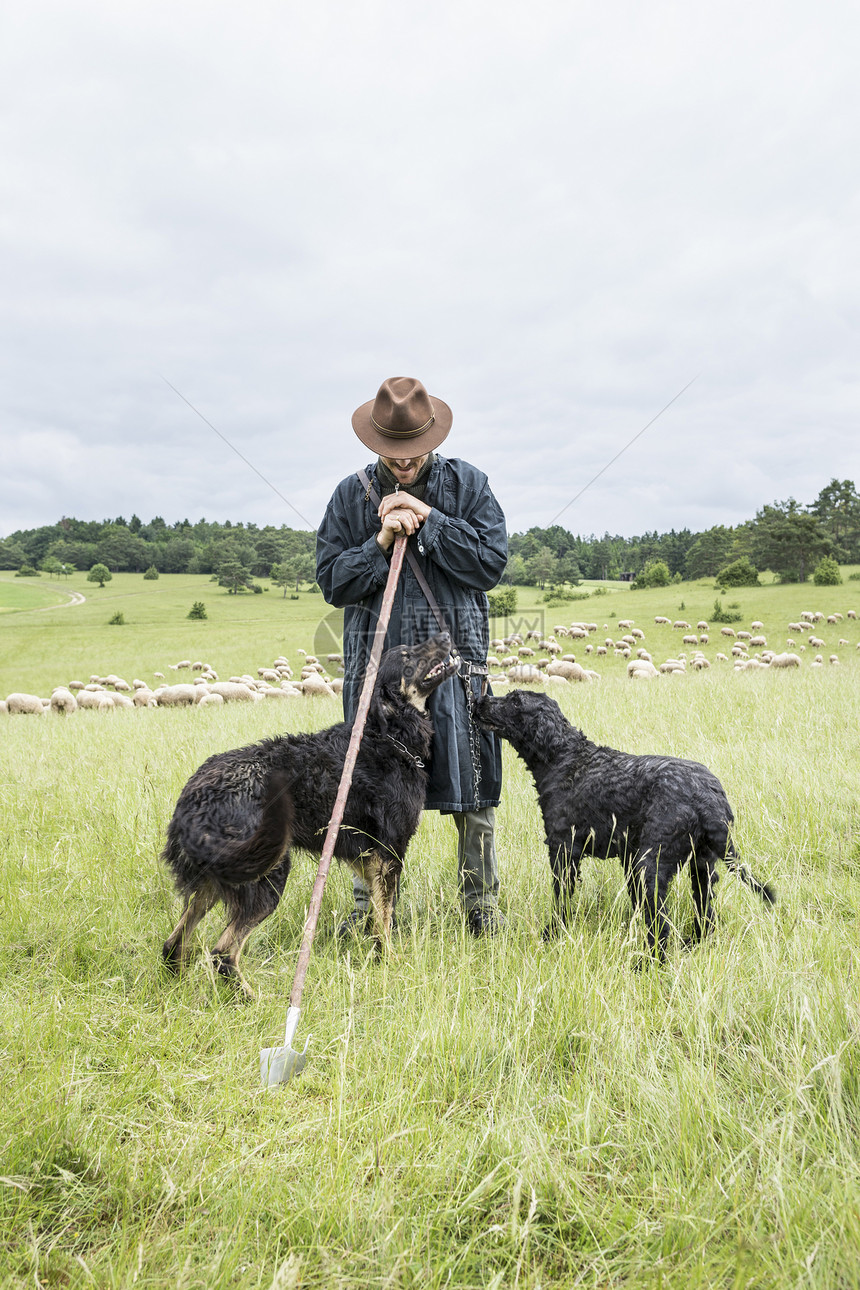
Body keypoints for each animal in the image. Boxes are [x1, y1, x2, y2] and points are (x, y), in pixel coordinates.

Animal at [160, 634, 456, 995]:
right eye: (407, 655)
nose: (444, 636)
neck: (387, 735)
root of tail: (194, 795)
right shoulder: (389, 853)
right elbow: (385, 918)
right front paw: (390, 962)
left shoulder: (367, 859)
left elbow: (375, 914)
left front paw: (377, 955)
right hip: (266, 873)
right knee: (222, 952)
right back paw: (251, 998)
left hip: (214, 881)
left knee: (174, 944)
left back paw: (178, 989)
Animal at [474, 696, 778, 959]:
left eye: (515, 701)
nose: (480, 700)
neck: (564, 757)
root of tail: (708, 798)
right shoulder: (627, 856)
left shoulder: (563, 850)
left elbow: (561, 902)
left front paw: (551, 935)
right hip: (701, 867)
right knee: (706, 916)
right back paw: (690, 944)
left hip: (650, 867)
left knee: (661, 926)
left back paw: (647, 963)